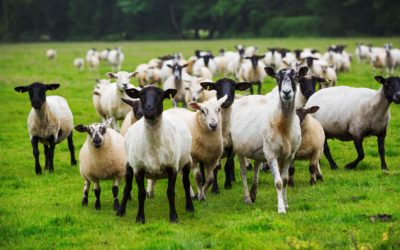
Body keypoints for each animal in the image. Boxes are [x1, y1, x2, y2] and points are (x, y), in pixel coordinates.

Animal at [116, 86, 195, 223]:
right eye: (141, 95)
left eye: (161, 95)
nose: (148, 110)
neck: (153, 147)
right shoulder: (138, 168)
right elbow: (141, 194)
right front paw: (140, 218)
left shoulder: (172, 167)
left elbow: (170, 192)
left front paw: (173, 217)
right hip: (128, 163)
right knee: (127, 187)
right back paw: (120, 211)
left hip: (186, 161)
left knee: (186, 182)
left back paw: (190, 207)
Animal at [230, 66, 308, 213]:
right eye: (277, 77)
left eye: (296, 77)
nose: (286, 92)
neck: (283, 124)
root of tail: (247, 96)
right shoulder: (271, 154)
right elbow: (278, 182)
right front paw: (281, 209)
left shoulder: (290, 155)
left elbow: (285, 180)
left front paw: (286, 204)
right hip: (239, 149)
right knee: (243, 172)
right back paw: (247, 198)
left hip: (257, 149)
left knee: (256, 169)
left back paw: (254, 194)